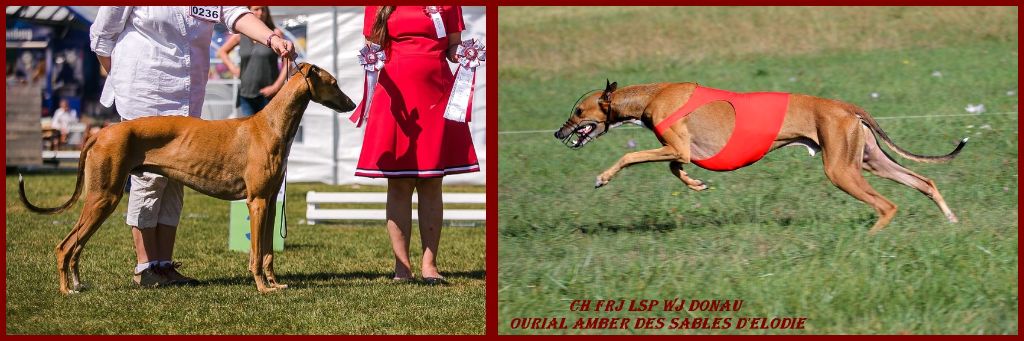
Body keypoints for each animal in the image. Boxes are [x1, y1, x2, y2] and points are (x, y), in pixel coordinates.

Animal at [557, 80, 962, 232]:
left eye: (578, 111)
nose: (559, 133)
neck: (650, 96)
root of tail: (845, 106)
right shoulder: (679, 150)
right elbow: (676, 169)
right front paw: (697, 184)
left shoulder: (675, 145)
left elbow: (632, 158)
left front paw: (602, 178)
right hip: (869, 160)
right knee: (924, 180)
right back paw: (952, 218)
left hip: (840, 170)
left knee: (887, 205)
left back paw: (870, 236)